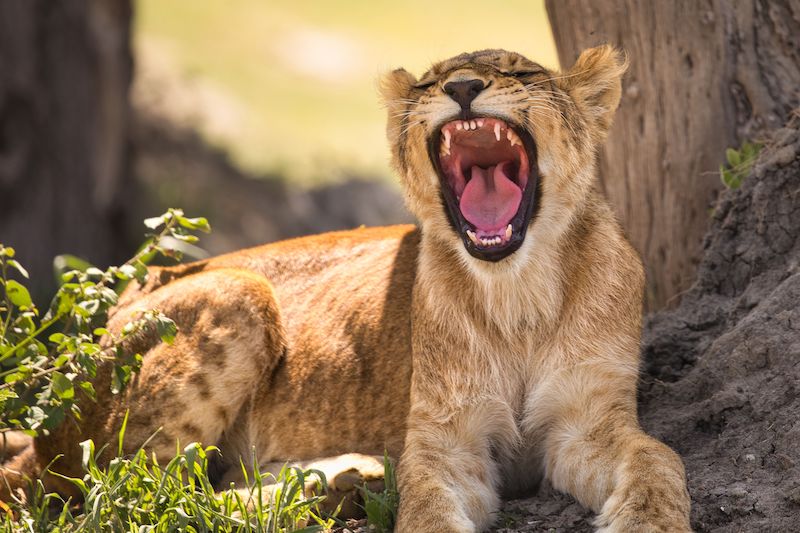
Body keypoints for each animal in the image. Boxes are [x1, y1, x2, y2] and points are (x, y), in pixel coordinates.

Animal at [1, 46, 691, 532]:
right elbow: (426, 510)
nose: (462, 88)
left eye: (518, 70)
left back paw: (341, 479)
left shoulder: (587, 421)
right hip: (239, 294)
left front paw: (649, 521)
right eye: (430, 82)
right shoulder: (444, 443)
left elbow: (659, 460)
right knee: (127, 495)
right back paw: (337, 484)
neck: (515, 293)